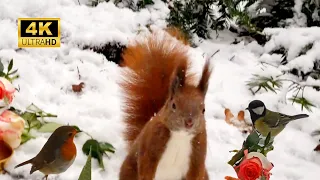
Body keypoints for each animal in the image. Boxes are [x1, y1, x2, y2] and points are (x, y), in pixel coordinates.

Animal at [119, 28, 211, 180]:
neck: (181, 136)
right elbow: (146, 167)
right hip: (129, 170)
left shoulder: (198, 153)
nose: (189, 122)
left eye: (204, 109)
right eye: (174, 105)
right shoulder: (151, 144)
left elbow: (196, 173)